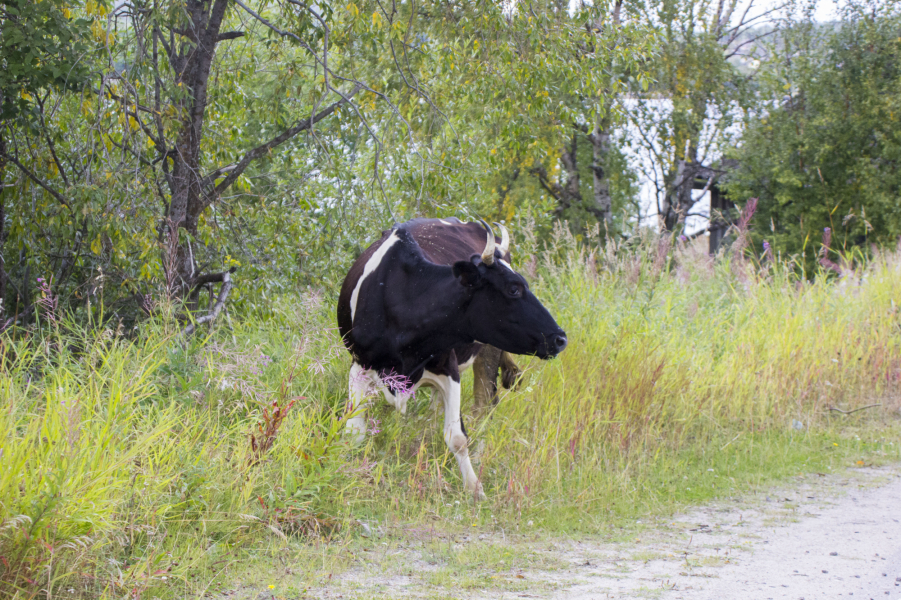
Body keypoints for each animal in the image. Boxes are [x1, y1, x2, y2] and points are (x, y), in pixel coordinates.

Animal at [336, 218, 568, 499]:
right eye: (513, 289)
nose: (560, 338)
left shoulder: (449, 368)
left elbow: (457, 437)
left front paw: (475, 489)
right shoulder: (359, 365)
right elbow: (354, 431)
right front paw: (349, 472)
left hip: (489, 351)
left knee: (484, 405)